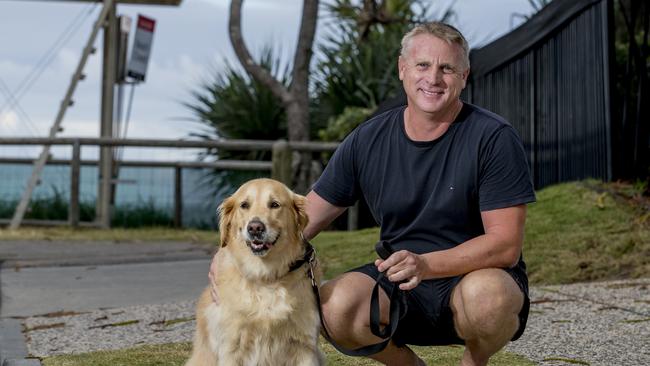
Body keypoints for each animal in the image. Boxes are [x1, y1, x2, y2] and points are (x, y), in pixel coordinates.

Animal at [185, 179, 322, 364]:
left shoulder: (304, 346)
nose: (255, 228)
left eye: (274, 204)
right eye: (244, 205)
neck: (265, 276)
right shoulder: (232, 347)